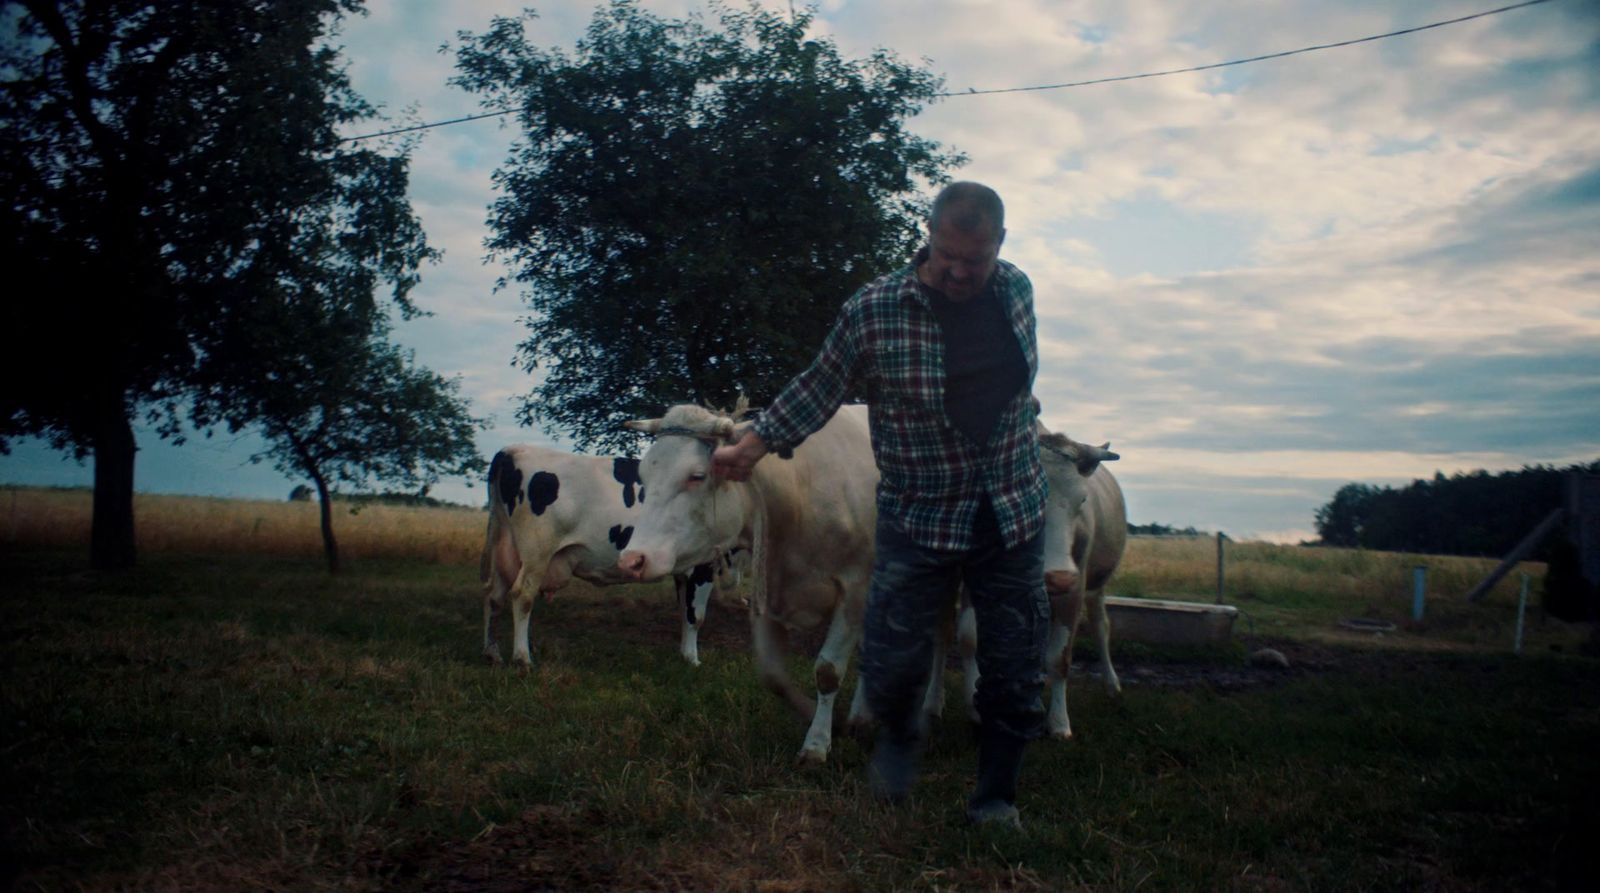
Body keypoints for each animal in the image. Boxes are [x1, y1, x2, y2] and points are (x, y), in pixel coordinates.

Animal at [611, 406, 896, 761]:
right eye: (644, 477)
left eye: (697, 476)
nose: (632, 560)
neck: (801, 494)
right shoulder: (767, 588)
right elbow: (773, 675)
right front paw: (811, 712)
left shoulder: (856, 590)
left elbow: (828, 672)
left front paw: (817, 744)